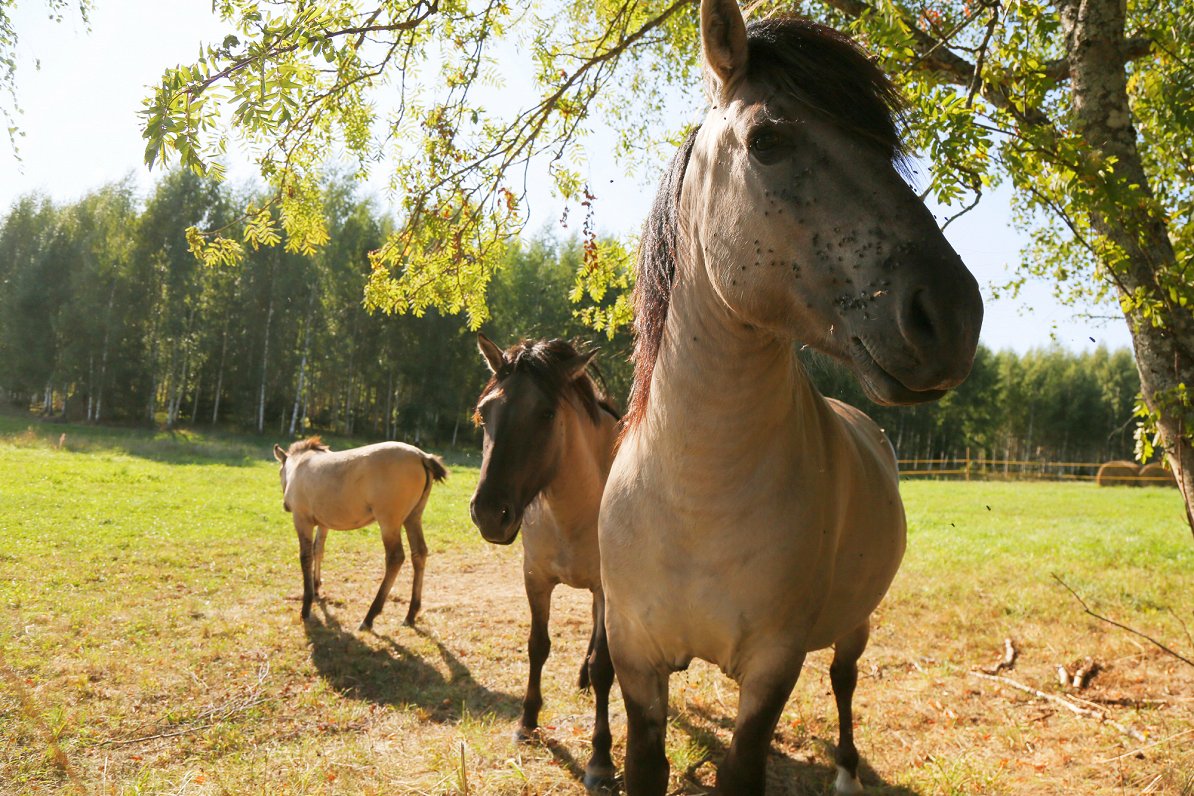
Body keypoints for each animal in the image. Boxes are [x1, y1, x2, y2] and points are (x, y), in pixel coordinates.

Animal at [271, 439, 448, 630]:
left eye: (279, 472)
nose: (285, 505)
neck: (300, 464)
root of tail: (421, 456)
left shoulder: (302, 520)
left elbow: (305, 557)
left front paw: (306, 606)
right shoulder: (324, 524)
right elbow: (318, 550)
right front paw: (316, 586)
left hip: (389, 522)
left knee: (395, 557)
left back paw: (370, 616)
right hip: (413, 518)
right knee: (419, 553)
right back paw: (410, 614)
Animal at [465, 334, 620, 792]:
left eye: (547, 413)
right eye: (484, 413)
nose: (489, 513)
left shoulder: (608, 589)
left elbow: (604, 666)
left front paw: (600, 759)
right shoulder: (535, 580)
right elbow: (538, 646)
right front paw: (527, 721)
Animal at [601, 3, 983, 792]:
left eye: (885, 147)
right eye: (768, 141)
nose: (953, 316)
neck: (695, 493)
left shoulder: (771, 668)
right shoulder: (636, 664)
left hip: (854, 624)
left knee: (844, 680)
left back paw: (845, 769)